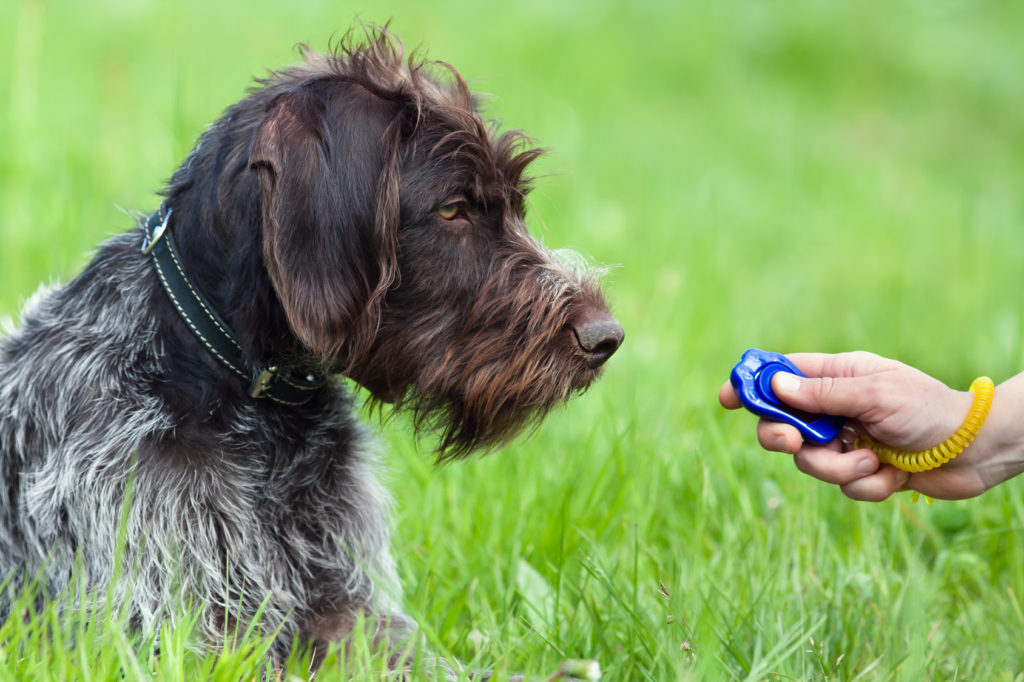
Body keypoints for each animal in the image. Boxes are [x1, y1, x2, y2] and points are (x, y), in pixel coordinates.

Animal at [0, 25, 622, 667]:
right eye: (453, 208)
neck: (252, 407)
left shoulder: (348, 607)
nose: (606, 336)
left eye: (517, 206)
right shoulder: (180, 630)